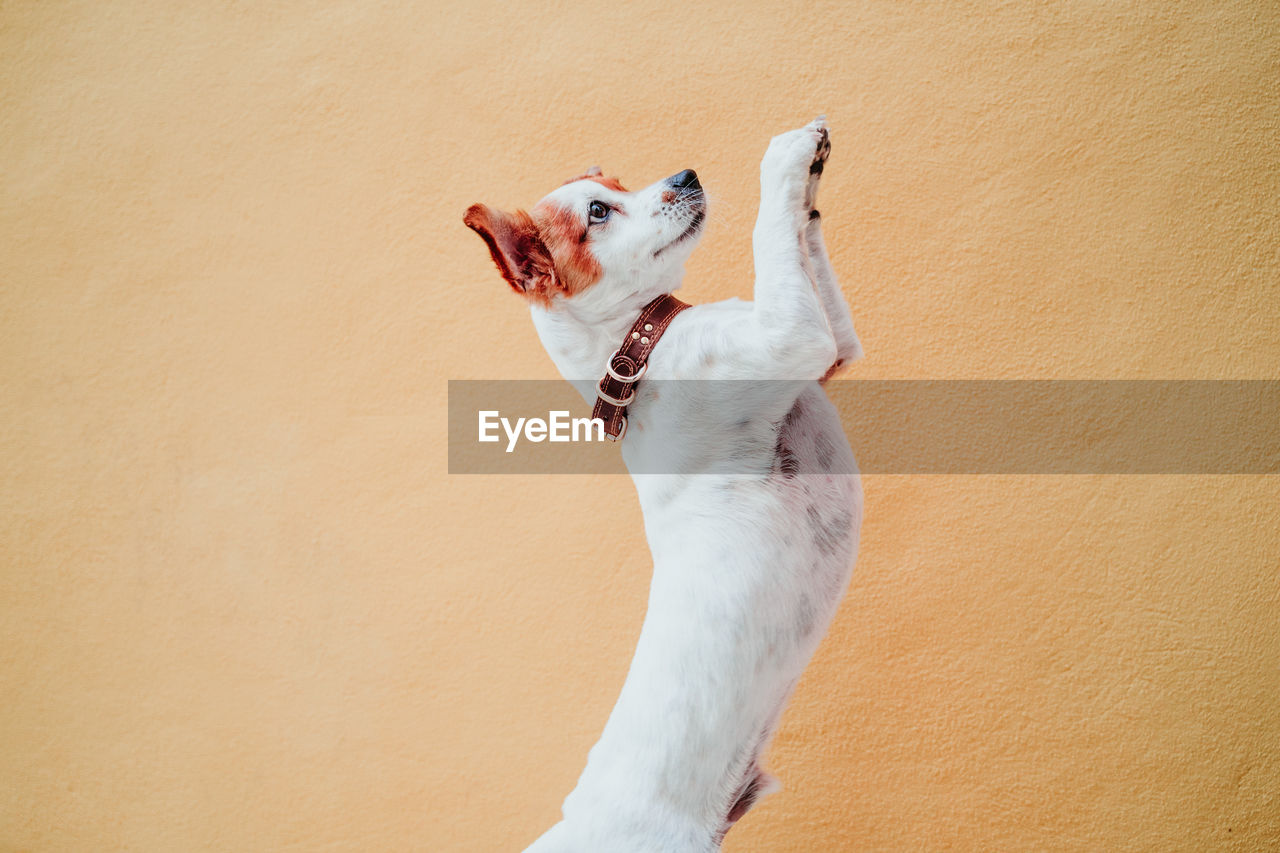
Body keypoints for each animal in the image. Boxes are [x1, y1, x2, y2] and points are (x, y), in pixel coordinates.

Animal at [465, 119, 865, 850]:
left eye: (618, 184)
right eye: (599, 212)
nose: (686, 175)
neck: (637, 348)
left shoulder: (831, 347)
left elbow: (801, 238)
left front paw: (813, 178)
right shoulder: (794, 335)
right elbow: (771, 229)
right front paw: (787, 156)